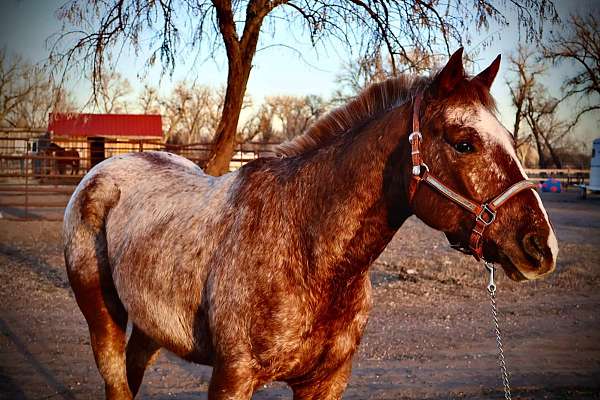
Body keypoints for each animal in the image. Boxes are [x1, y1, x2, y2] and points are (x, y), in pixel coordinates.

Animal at [62, 48, 556, 398]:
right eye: (464, 143)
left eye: (510, 138)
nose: (541, 246)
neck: (307, 250)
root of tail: (102, 171)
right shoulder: (231, 378)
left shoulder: (326, 383)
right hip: (102, 318)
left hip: (151, 328)